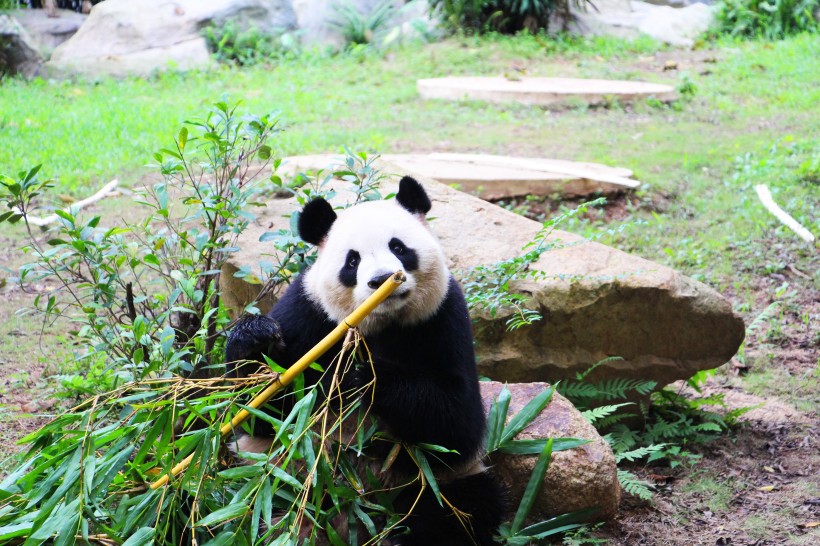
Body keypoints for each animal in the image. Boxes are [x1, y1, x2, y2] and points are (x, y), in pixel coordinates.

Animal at [226, 176, 506, 540]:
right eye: (352, 261)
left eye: (398, 247)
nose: (381, 279)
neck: (379, 323)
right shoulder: (309, 311)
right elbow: (262, 412)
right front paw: (254, 338)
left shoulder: (444, 317)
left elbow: (458, 423)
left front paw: (364, 376)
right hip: (268, 474)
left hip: (430, 484)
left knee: (463, 509)